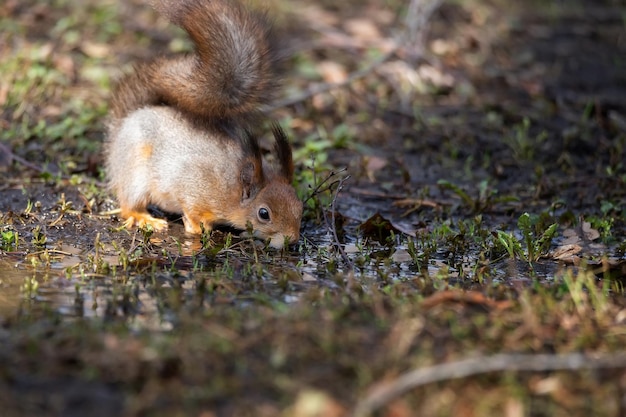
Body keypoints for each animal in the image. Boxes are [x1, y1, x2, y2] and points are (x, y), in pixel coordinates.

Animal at [103, 0, 302, 247]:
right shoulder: (193, 188)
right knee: (128, 204)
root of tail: (128, 119)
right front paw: (199, 228)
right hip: (134, 173)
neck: (232, 189)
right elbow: (191, 210)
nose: (291, 240)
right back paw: (145, 218)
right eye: (264, 214)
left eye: (300, 207)